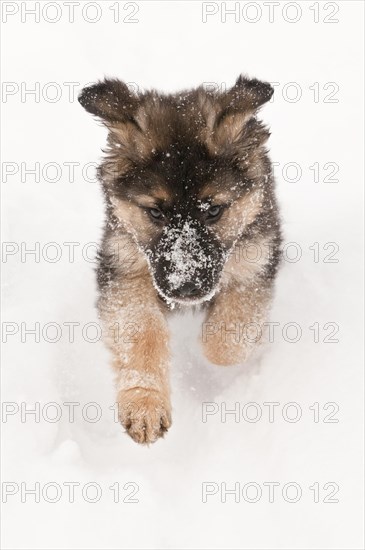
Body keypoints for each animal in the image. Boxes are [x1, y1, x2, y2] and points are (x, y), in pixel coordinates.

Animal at [78, 75, 280, 446]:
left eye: (213, 210)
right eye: (155, 212)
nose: (185, 289)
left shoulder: (254, 263)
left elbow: (226, 342)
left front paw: (215, 352)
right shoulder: (125, 272)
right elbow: (142, 334)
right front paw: (144, 406)